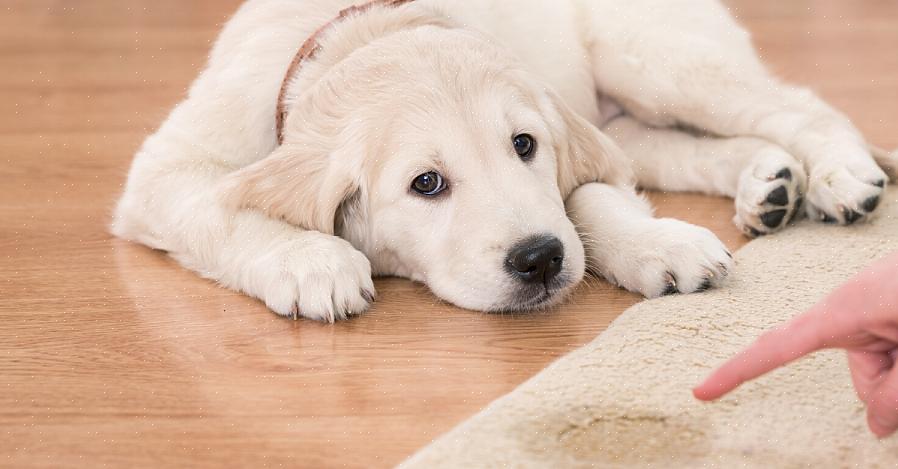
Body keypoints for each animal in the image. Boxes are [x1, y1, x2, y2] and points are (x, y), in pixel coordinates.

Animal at [110, 0, 880, 322]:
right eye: (425, 183)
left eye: (524, 146)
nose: (538, 261)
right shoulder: (165, 171)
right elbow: (220, 208)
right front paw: (311, 263)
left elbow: (586, 196)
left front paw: (656, 243)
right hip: (633, 109)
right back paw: (770, 185)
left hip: (652, 57)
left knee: (795, 104)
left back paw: (840, 175)